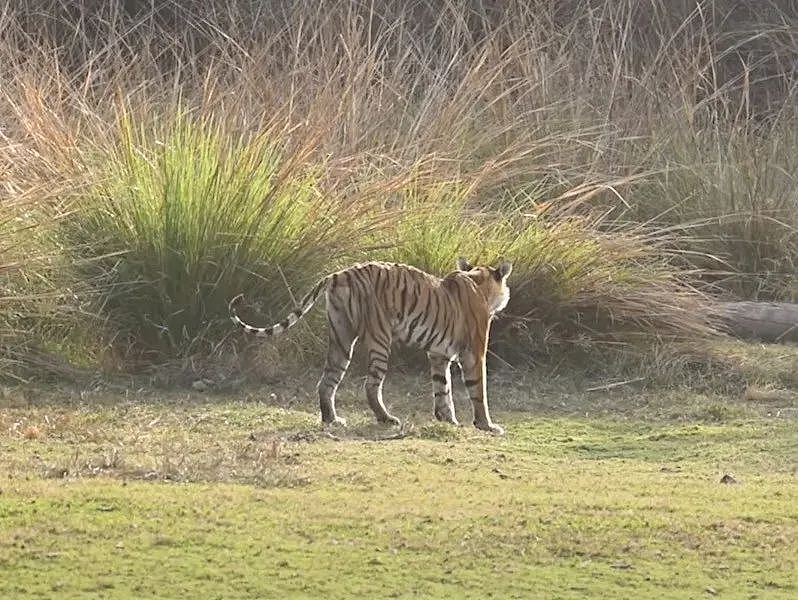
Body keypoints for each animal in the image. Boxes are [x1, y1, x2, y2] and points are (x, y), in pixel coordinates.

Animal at [229, 258, 512, 435]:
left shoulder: (438, 355)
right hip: (379, 338)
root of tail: (338, 273)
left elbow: (443, 389)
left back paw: (332, 420)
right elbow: (478, 391)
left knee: (327, 381)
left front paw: (448, 420)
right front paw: (487, 426)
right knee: (370, 385)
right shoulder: (474, 353)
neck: (478, 281)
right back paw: (386, 418)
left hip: (342, 338)